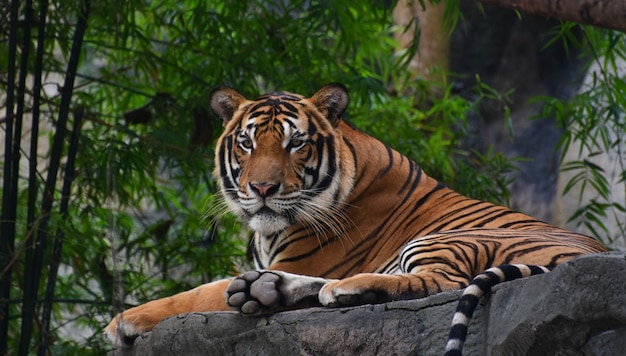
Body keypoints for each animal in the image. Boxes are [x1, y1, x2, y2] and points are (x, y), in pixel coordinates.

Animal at [105, 82, 608, 354]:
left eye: (295, 143)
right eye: (246, 143)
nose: (262, 190)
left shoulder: (305, 259)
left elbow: (196, 294)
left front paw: (121, 322)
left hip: (442, 240)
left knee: (438, 283)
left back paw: (335, 289)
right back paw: (266, 291)